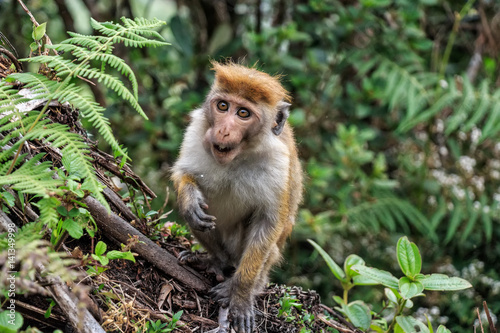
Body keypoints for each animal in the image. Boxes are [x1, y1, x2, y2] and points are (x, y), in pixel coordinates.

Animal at [172, 61, 302, 330]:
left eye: (243, 113)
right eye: (223, 106)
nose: (222, 130)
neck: (238, 156)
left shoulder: (277, 161)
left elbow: (268, 222)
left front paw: (240, 295)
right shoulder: (197, 129)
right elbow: (183, 172)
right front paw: (189, 199)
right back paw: (215, 261)